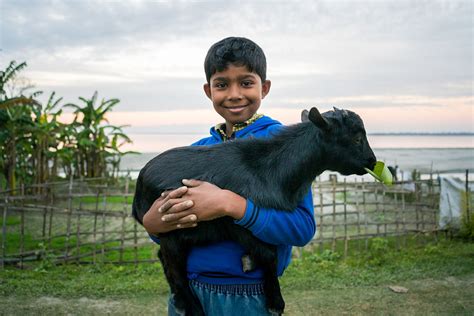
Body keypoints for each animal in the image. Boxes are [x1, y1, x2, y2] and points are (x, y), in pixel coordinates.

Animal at [131, 107, 376, 314]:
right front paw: (275, 302)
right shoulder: (236, 225)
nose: (372, 162)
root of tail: (139, 184)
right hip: (170, 229)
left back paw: (180, 301)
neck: (270, 169)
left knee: (164, 259)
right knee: (175, 267)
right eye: (356, 138)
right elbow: (269, 255)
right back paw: (193, 307)